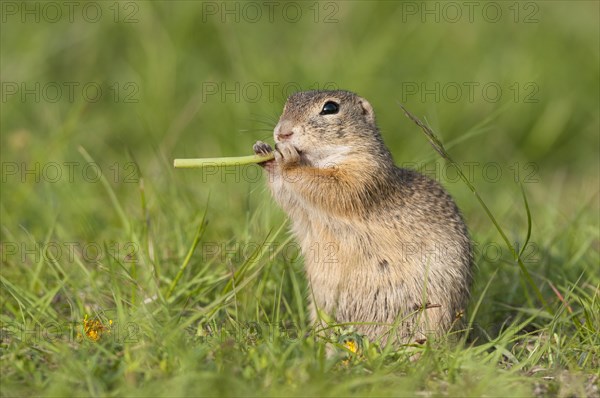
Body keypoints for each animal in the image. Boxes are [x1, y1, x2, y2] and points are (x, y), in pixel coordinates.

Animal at [251, 90, 472, 346]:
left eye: (330, 108)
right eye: (288, 102)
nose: (282, 133)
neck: (317, 160)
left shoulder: (363, 174)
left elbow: (333, 187)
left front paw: (287, 159)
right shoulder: (300, 205)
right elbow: (288, 196)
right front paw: (264, 152)